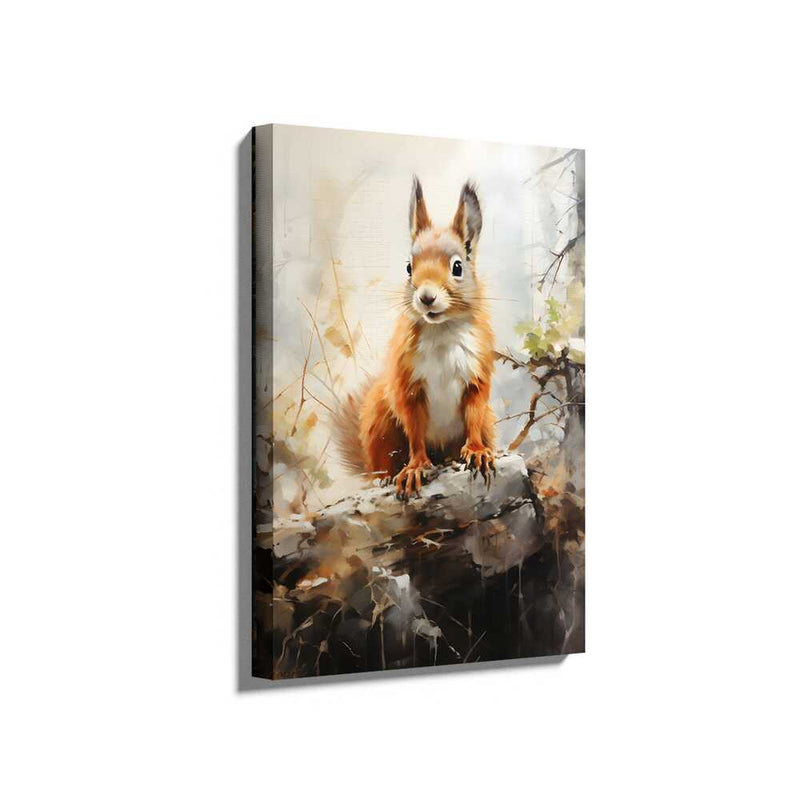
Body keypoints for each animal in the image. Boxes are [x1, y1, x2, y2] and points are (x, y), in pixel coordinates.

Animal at [334, 176, 496, 499]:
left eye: (457, 267)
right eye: (409, 267)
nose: (426, 297)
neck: (442, 329)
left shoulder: (476, 375)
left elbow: (473, 414)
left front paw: (476, 451)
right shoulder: (407, 385)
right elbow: (414, 429)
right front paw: (416, 467)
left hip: (488, 420)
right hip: (379, 419)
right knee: (384, 460)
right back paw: (385, 478)